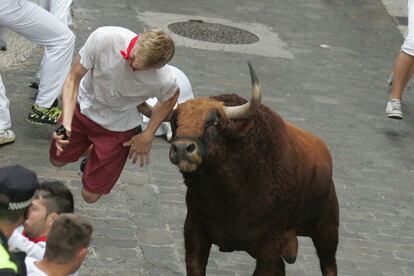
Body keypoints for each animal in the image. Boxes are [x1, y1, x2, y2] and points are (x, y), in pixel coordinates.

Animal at [167, 62, 338, 276]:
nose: (182, 148)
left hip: (327, 232)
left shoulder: (269, 246)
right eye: (175, 121)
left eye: (214, 122)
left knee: (329, 265)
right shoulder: (194, 233)